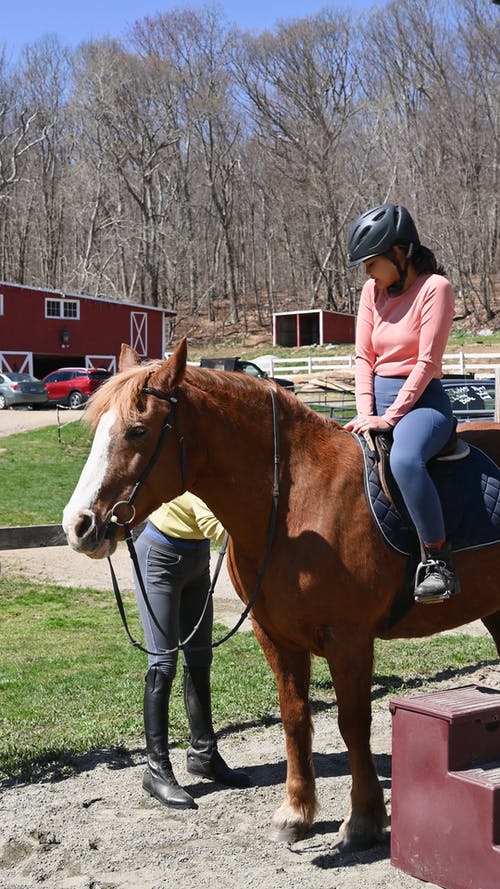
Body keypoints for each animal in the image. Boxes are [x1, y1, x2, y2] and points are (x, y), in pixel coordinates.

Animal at [62, 338, 500, 848]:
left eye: (137, 431)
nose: (78, 525)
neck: (295, 503)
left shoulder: (348, 640)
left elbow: (353, 723)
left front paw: (363, 819)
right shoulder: (275, 635)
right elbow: (295, 719)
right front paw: (296, 812)